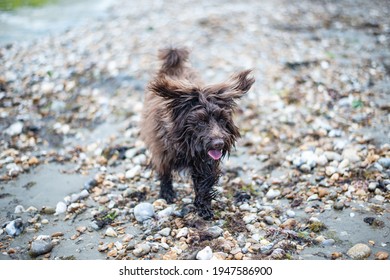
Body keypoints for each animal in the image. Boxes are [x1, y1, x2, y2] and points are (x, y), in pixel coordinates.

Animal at [139, 47, 254, 219]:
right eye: (200, 121)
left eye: (222, 119)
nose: (219, 144)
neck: (186, 144)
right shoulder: (161, 151)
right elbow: (164, 173)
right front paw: (167, 193)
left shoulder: (205, 162)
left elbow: (204, 182)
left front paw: (203, 206)